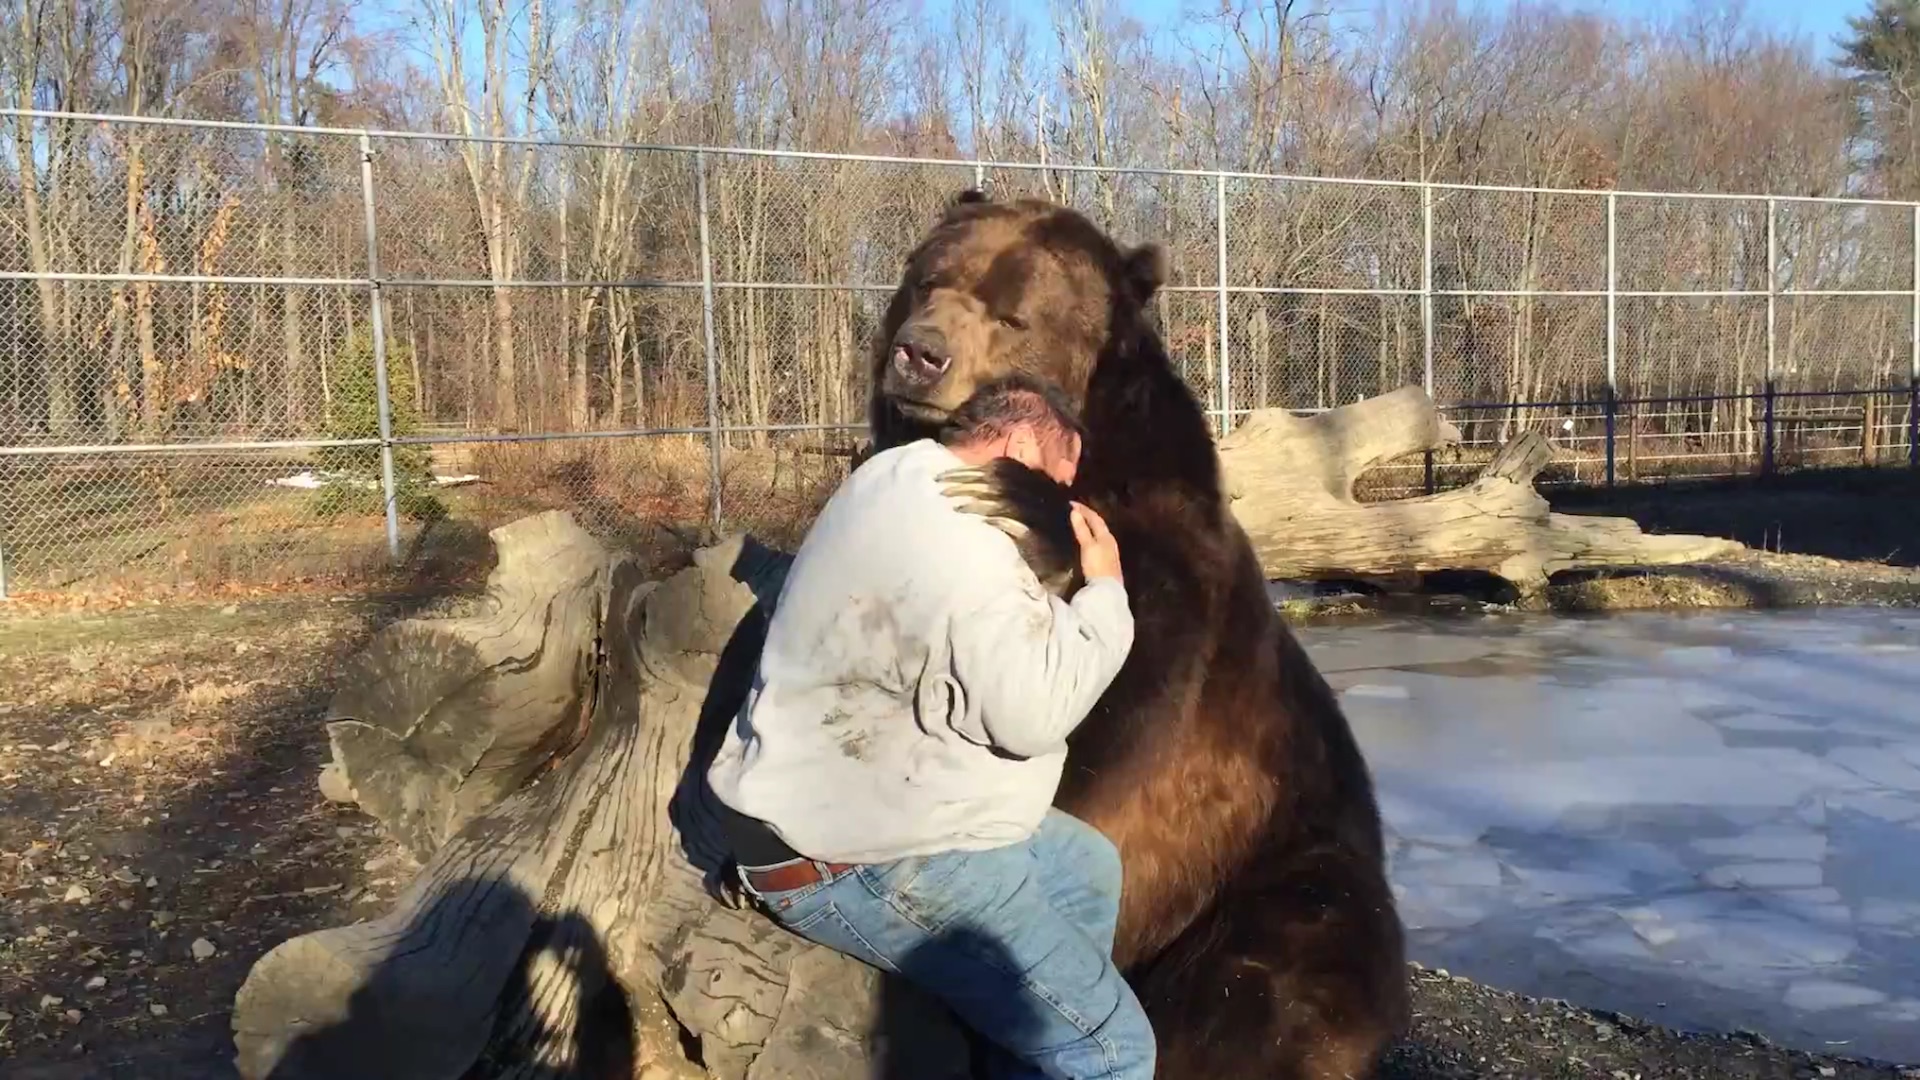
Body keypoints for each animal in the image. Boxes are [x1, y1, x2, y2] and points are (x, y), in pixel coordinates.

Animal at [867, 189, 1413, 1076]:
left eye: (1013, 313)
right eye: (928, 280)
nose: (921, 354)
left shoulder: (1169, 576)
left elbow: (1097, 704)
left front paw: (1024, 502)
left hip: (1272, 866)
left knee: (1272, 977)